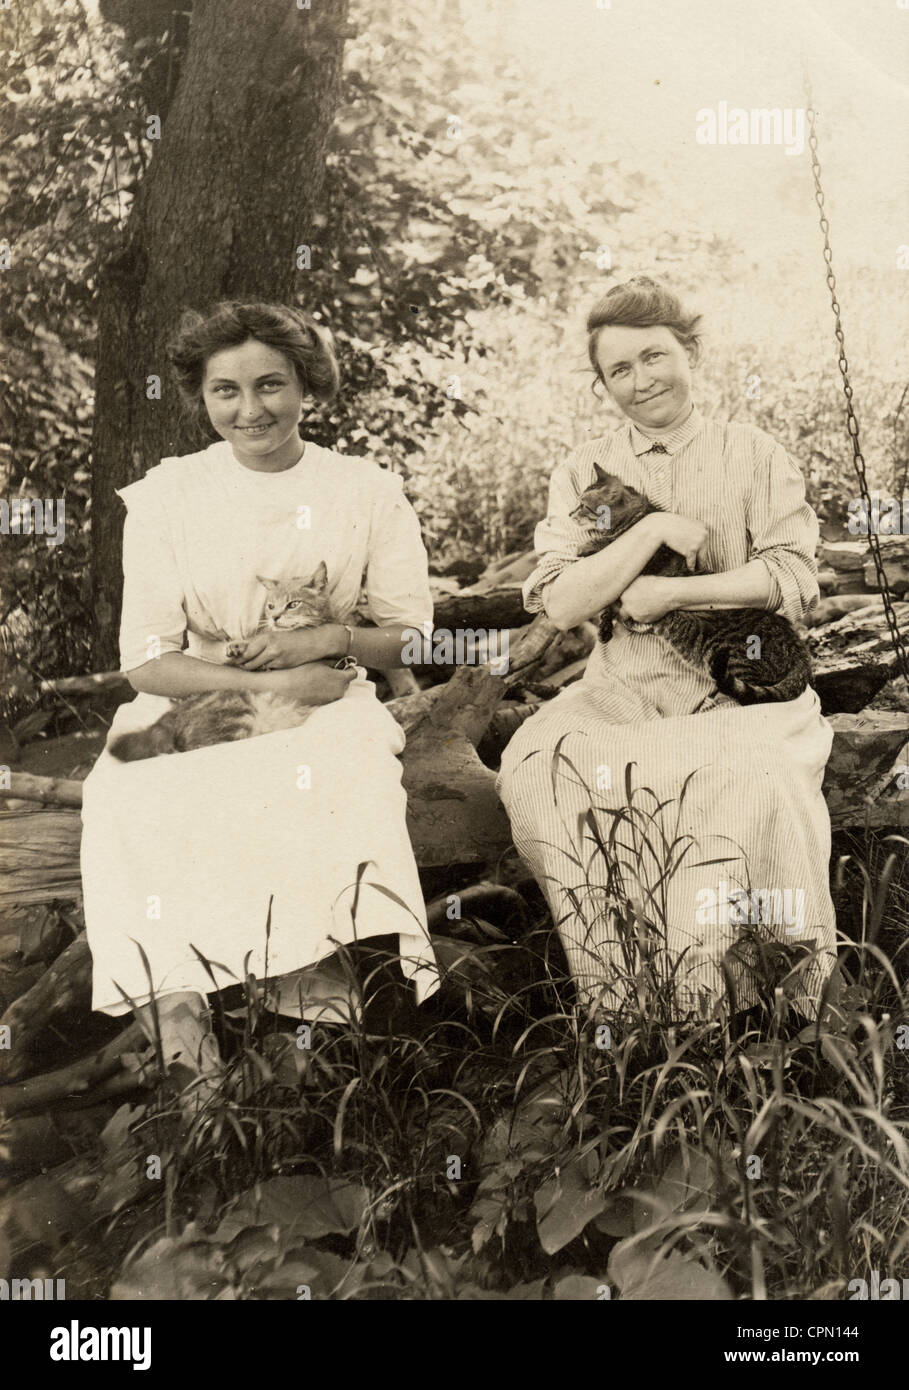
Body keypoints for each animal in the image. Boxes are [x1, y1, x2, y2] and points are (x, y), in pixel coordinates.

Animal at [572, 467, 817, 706]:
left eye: (583, 505)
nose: (570, 514)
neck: (636, 516)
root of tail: (798, 648)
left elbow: (608, 545)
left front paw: (588, 545)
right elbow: (608, 603)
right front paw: (607, 625)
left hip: (739, 659)